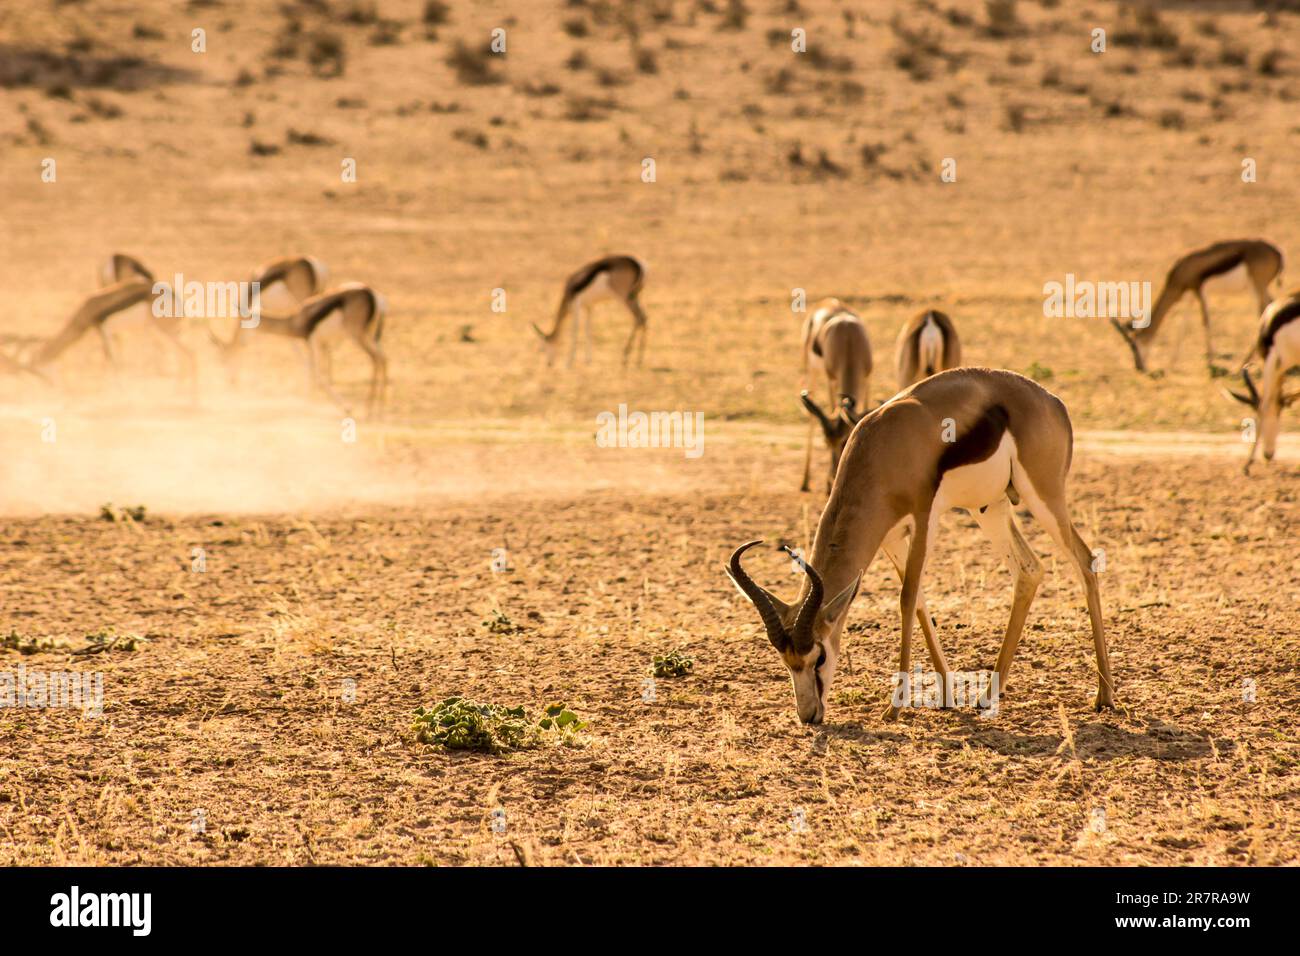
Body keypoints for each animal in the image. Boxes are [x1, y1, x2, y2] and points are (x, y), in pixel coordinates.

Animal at [210, 286, 384, 416]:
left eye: (223, 358)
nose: (231, 381)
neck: (295, 319)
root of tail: (372, 295)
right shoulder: (318, 344)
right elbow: (315, 373)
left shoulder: (312, 341)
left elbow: (315, 375)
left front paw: (343, 407)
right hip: (369, 335)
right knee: (384, 358)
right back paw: (378, 409)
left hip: (358, 335)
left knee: (376, 359)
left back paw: (369, 410)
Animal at [733, 366, 1118, 723]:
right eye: (787, 661)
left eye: (819, 656)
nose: (809, 715)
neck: (882, 445)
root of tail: (1053, 402)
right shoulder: (890, 536)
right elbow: (918, 600)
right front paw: (947, 695)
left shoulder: (924, 519)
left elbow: (906, 599)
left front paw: (893, 709)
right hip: (989, 508)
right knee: (1029, 570)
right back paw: (987, 697)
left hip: (1043, 496)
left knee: (1085, 561)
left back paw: (1104, 696)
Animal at [790, 297, 873, 494]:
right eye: (826, 442)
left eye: (845, 441)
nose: (835, 477)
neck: (849, 338)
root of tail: (828, 301)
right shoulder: (831, 380)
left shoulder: (867, 378)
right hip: (812, 372)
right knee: (812, 417)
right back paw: (805, 482)